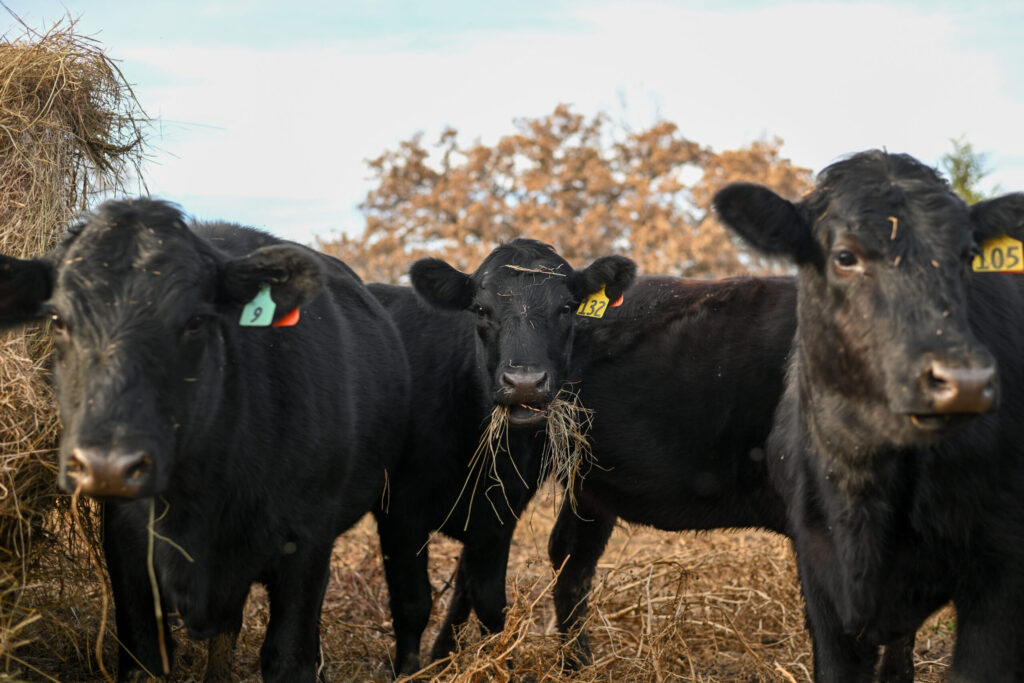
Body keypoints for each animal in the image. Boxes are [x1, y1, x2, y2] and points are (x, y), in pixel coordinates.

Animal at [0, 198, 410, 681]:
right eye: (58, 320)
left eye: (196, 321)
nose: (108, 466)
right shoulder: (128, 547)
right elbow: (145, 659)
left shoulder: (307, 542)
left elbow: (288, 657)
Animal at [368, 238, 635, 675]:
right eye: (480, 309)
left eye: (567, 307)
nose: (524, 383)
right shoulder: (399, 513)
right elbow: (412, 605)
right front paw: (408, 672)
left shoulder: (499, 513)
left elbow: (491, 603)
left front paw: (498, 665)